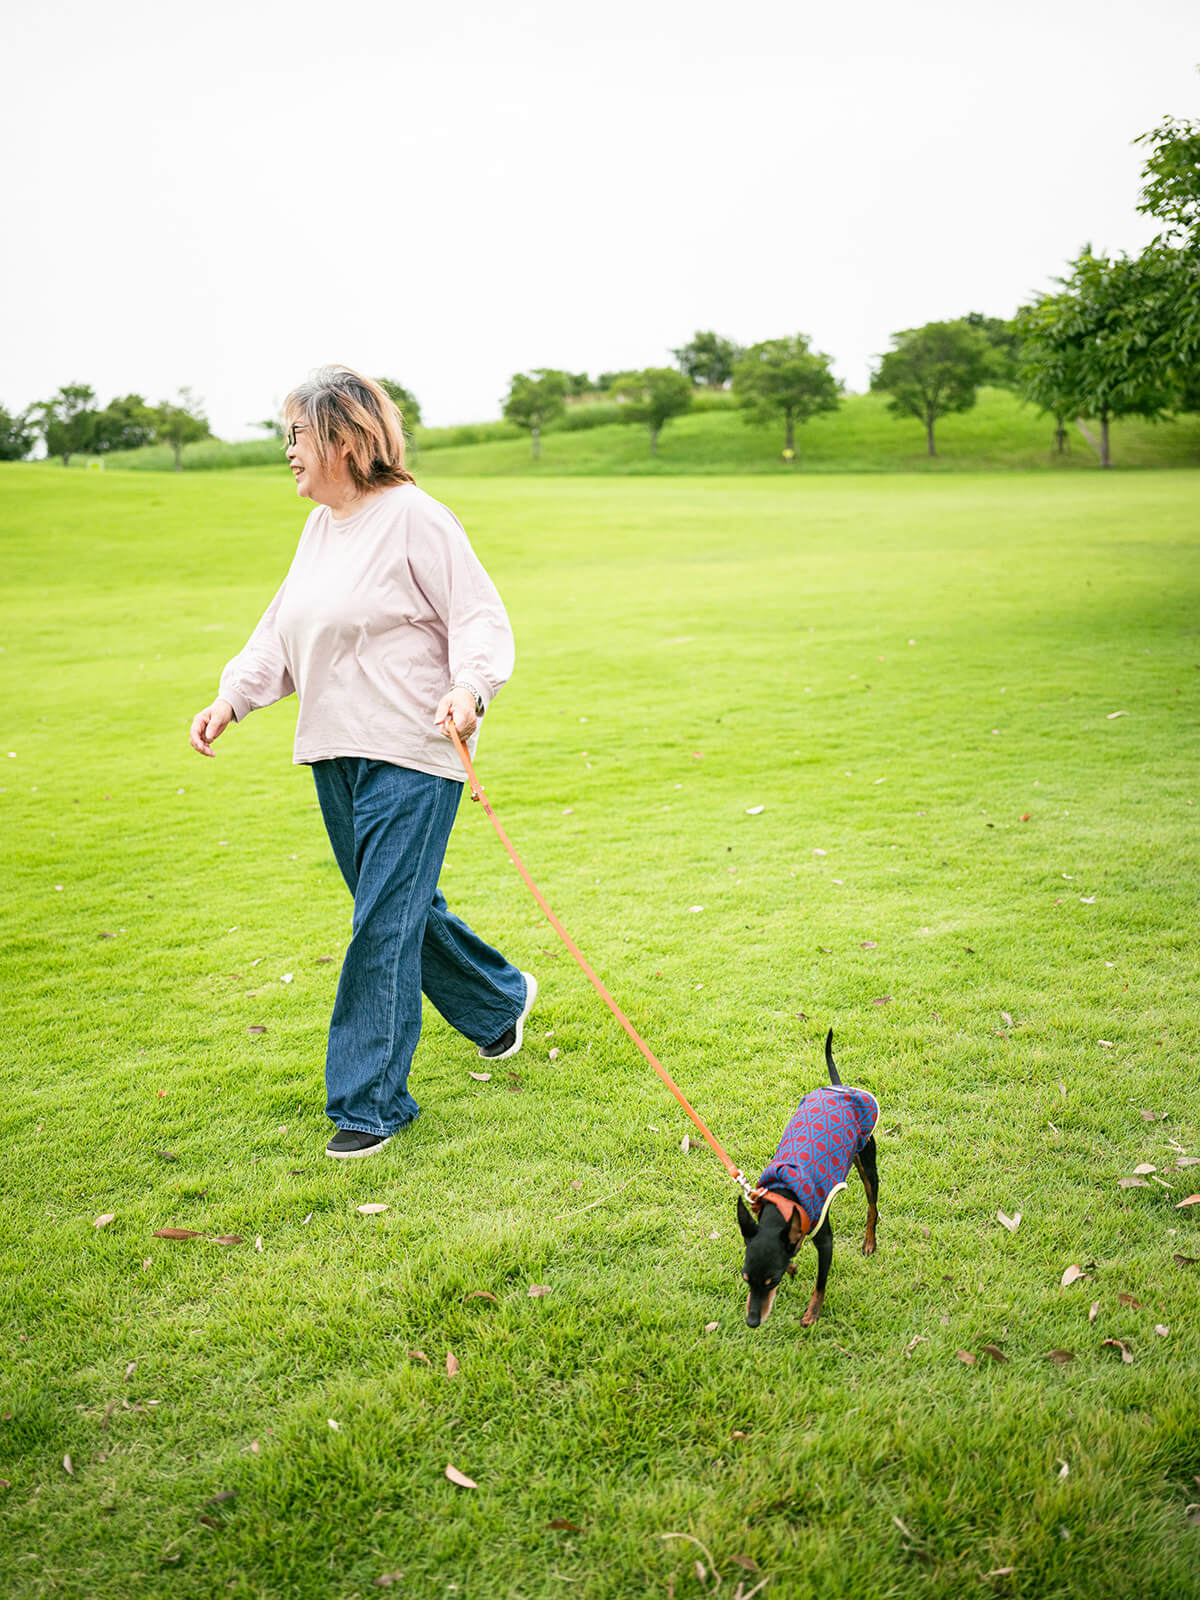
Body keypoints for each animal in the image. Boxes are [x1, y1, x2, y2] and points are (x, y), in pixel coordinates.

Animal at [739, 1030, 876, 1331]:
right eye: (745, 1278)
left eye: (773, 1282)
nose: (752, 1322)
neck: (783, 1198)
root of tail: (839, 1087)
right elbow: (792, 1249)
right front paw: (793, 1261)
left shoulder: (825, 1241)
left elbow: (820, 1284)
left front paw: (812, 1313)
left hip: (867, 1161)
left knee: (873, 1206)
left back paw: (870, 1242)